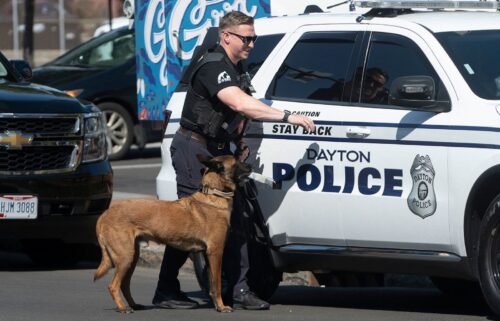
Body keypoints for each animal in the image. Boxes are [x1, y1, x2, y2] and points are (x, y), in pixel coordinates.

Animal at [92, 154, 252, 312]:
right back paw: (123, 308)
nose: (251, 165)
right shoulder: (215, 252)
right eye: (237, 162)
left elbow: (213, 284)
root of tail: (104, 215)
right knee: (113, 285)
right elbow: (217, 283)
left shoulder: (209, 255)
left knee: (124, 284)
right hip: (125, 256)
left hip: (132, 257)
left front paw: (217, 304)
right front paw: (222, 306)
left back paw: (133, 305)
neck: (214, 194)